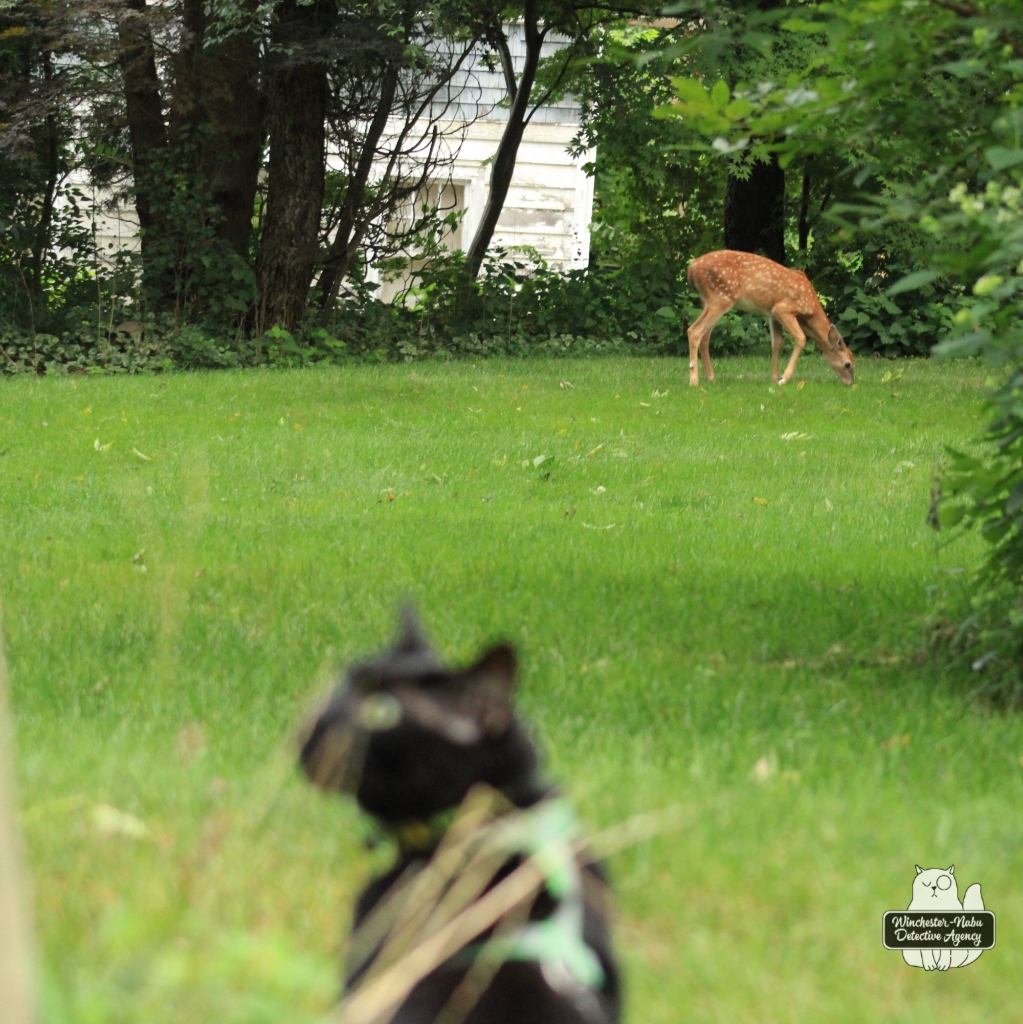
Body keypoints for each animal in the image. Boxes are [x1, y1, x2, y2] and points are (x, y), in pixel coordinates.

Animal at [685, 250, 854, 388]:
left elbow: (777, 342)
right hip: (721, 297)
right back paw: (694, 381)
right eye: (848, 364)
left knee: (705, 336)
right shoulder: (783, 308)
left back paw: (711, 378)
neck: (810, 309)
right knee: (694, 330)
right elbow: (801, 338)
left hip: (709, 300)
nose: (851, 383)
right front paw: (783, 379)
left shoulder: (772, 314)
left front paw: (774, 378)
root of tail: (691, 267)